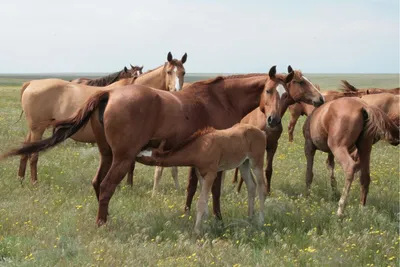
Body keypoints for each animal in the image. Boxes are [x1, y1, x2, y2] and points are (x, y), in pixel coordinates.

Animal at [16, 52, 188, 186]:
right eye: (169, 72)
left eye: (183, 72)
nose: (177, 91)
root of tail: (31, 83)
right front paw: (126, 186)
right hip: (38, 129)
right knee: (33, 155)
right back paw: (34, 182)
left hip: (33, 130)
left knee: (25, 149)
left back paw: (21, 179)